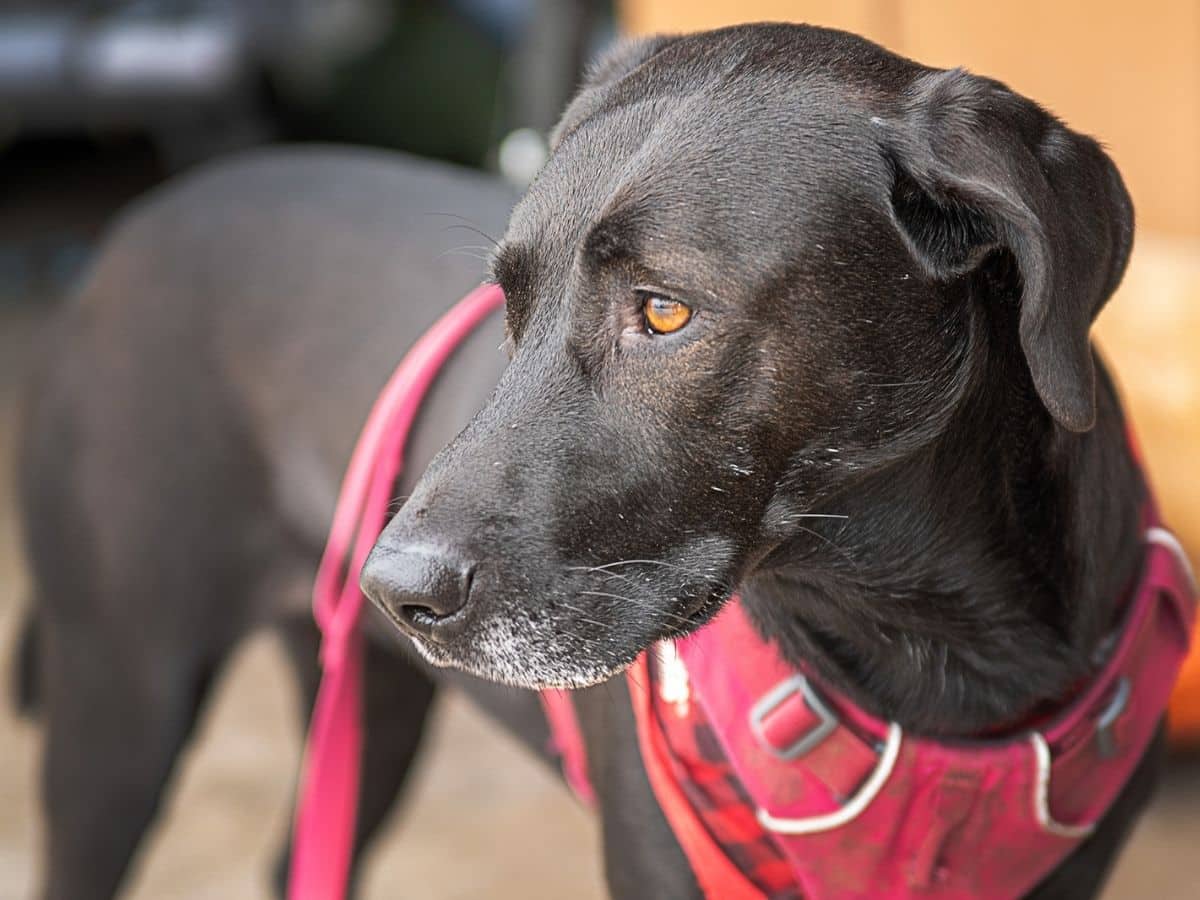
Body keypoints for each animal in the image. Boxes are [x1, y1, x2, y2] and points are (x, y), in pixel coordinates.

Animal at [17, 22, 1177, 900]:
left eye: (662, 311)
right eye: (511, 304)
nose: (395, 587)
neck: (926, 637)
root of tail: (129, 229)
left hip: (362, 701)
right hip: (119, 697)